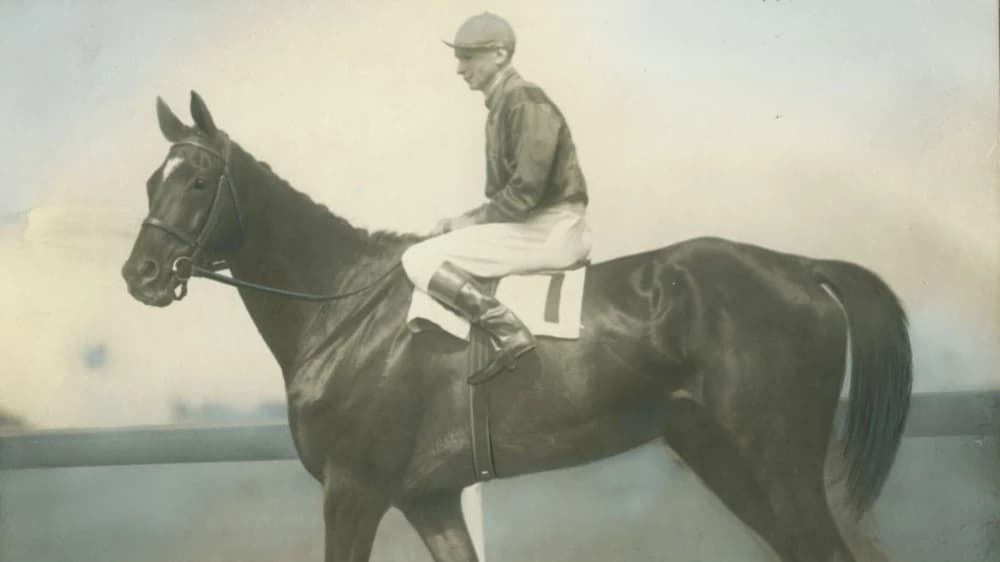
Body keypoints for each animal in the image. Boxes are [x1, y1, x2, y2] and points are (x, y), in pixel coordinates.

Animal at [121, 91, 912, 562]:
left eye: (199, 181)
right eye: (153, 181)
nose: (141, 274)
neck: (341, 310)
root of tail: (801, 266)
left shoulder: (353, 488)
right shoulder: (427, 496)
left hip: (778, 463)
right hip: (724, 457)